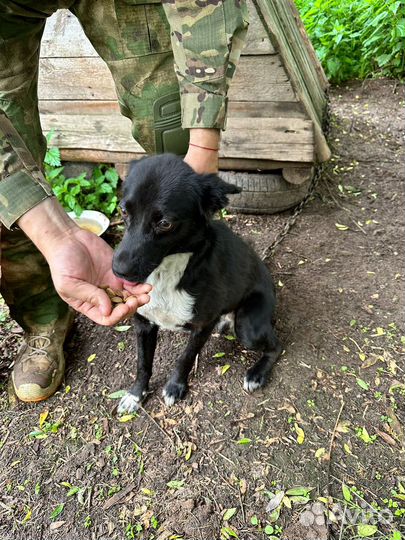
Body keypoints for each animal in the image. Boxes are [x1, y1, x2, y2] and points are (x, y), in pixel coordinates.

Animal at [110, 154, 280, 416]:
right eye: (123, 211)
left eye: (165, 223)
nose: (118, 270)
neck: (168, 273)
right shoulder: (143, 323)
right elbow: (143, 363)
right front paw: (136, 395)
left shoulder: (202, 326)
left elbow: (185, 358)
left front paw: (175, 387)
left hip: (249, 329)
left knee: (276, 346)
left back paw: (256, 374)